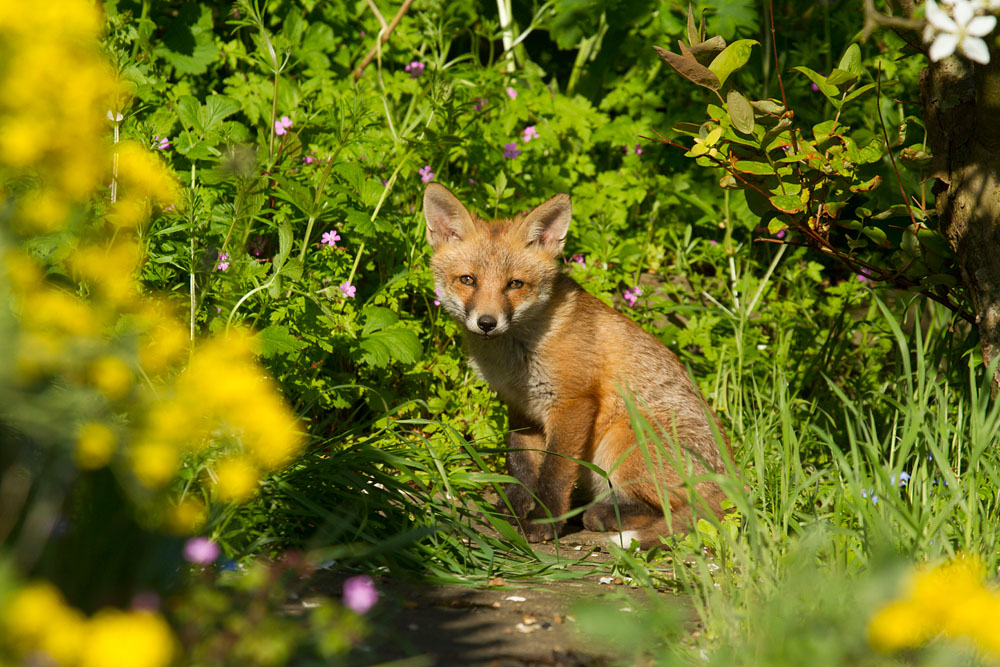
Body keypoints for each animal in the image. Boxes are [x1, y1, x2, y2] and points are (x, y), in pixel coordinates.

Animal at [423, 182, 732, 548]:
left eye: (515, 284)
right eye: (468, 280)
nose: (487, 322)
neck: (517, 354)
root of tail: (739, 485)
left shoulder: (573, 402)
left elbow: (555, 471)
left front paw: (543, 522)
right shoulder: (520, 406)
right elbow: (520, 466)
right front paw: (513, 510)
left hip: (622, 442)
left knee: (676, 511)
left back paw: (604, 516)